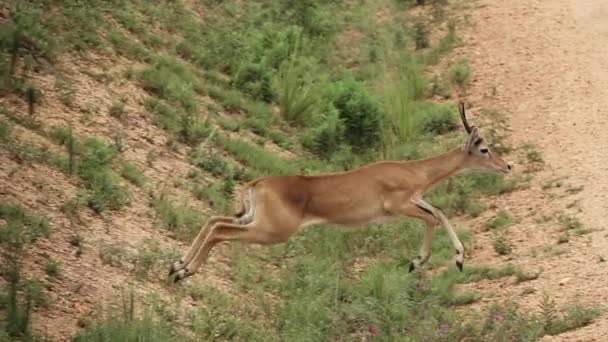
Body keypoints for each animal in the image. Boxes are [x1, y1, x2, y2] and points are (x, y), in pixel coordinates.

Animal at [171, 103, 512, 282]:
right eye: (484, 148)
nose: (507, 165)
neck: (414, 172)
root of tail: (257, 184)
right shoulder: (399, 206)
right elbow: (435, 217)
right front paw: (419, 262)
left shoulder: (417, 200)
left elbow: (439, 214)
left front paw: (456, 260)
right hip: (270, 231)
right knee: (220, 231)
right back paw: (185, 271)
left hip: (250, 219)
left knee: (213, 221)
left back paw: (177, 265)